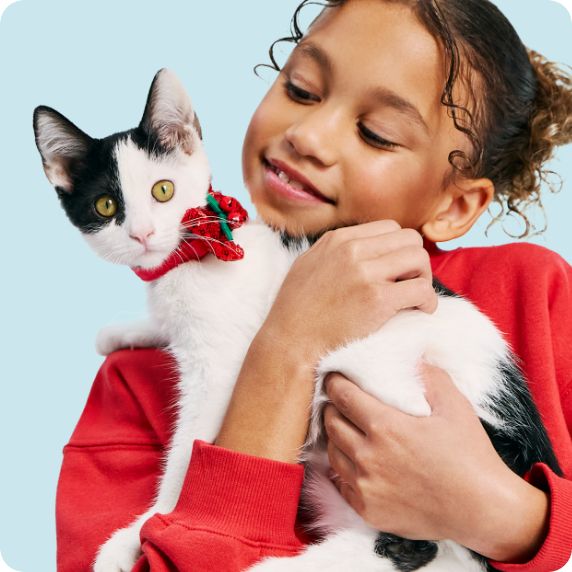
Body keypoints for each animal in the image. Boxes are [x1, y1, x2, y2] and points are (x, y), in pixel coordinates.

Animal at [33, 70, 560, 572]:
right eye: (106, 206)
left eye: (163, 191)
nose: (141, 234)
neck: (193, 255)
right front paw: (124, 331)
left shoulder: (224, 369)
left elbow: (188, 451)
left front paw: (139, 530)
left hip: (380, 377)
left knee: (420, 542)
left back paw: (267, 568)